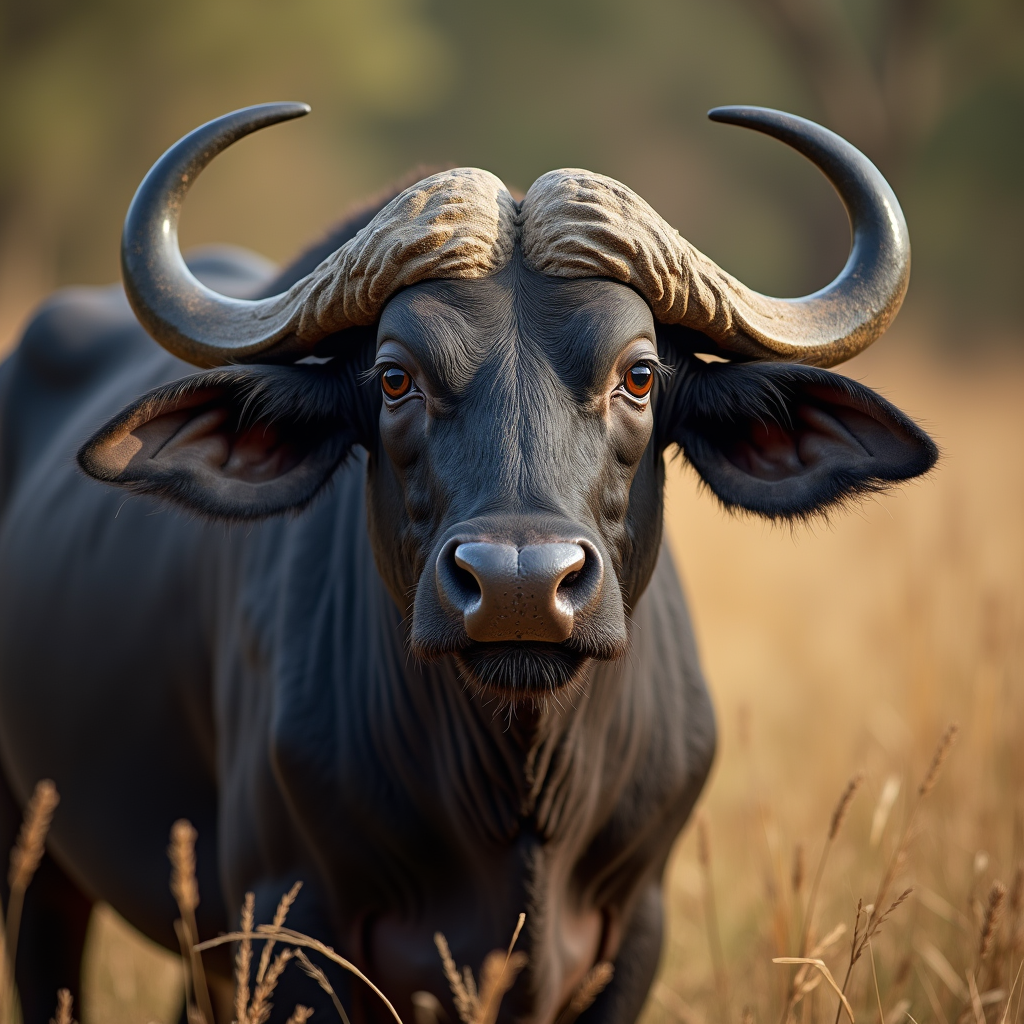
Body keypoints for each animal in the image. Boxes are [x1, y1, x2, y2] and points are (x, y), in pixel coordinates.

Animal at [0, 103, 936, 1024]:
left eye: (638, 375)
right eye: (393, 379)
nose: (521, 587)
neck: (515, 808)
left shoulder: (635, 929)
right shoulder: (287, 921)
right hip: (36, 859)